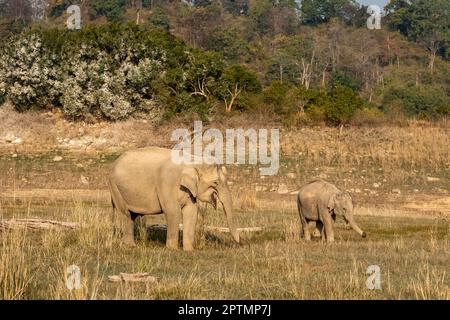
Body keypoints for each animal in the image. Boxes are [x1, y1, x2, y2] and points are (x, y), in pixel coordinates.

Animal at [108, 147, 244, 250]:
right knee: (125, 214)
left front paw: (189, 250)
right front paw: (172, 249)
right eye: (215, 182)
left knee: (132, 215)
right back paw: (131, 246)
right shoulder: (167, 182)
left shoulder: (189, 190)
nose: (242, 242)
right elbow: (173, 211)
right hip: (115, 187)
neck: (192, 160)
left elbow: (191, 212)